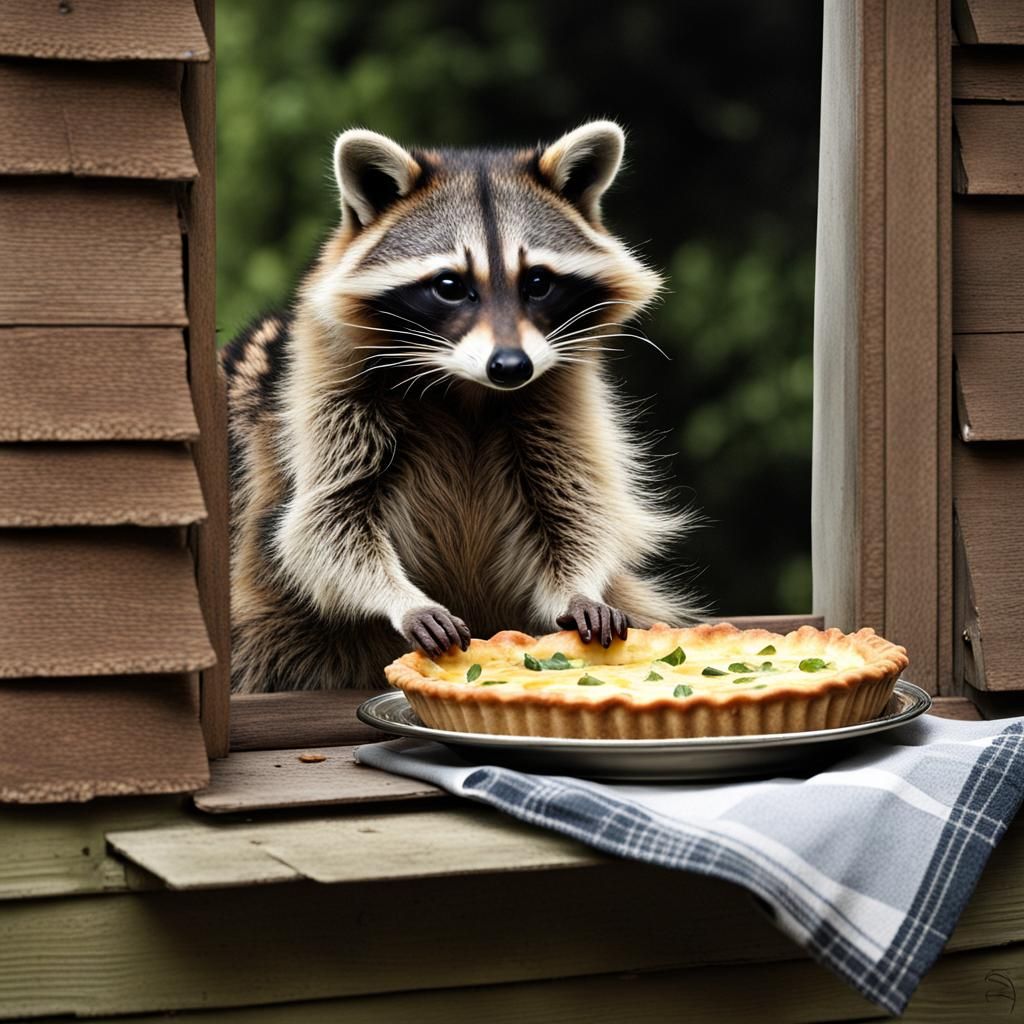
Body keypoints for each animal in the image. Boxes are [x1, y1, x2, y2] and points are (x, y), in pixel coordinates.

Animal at [222, 121, 699, 692]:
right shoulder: (326, 398)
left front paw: (578, 587)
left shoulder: (560, 398)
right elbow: (323, 525)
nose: (510, 366)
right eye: (450, 285)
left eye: (537, 282)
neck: (470, 388)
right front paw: (399, 597)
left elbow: (574, 510)